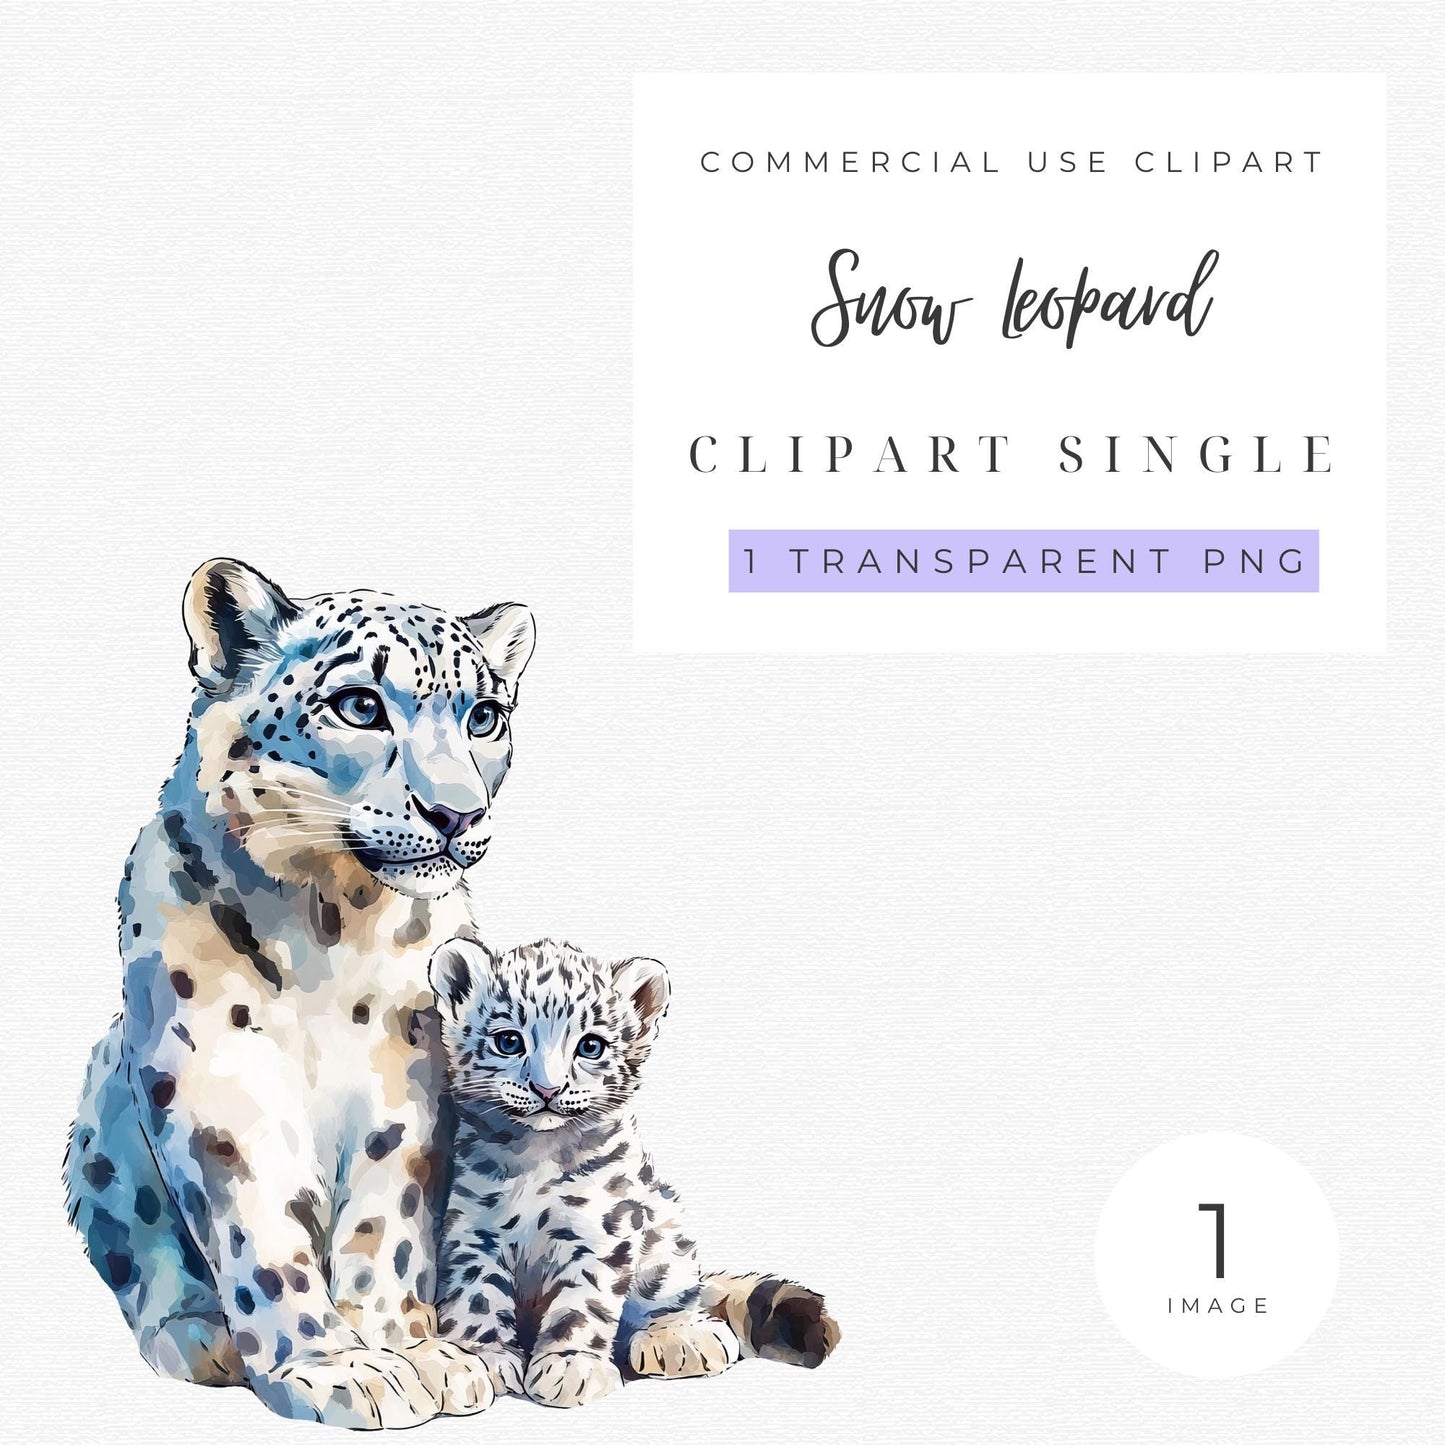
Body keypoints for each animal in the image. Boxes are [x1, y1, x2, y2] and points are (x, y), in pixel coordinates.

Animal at [63, 557, 535, 1428]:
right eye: (360, 704)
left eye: (484, 715)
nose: (457, 813)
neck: (332, 920)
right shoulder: (220, 1072)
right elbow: (262, 1230)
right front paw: (335, 1367)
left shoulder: (406, 1074)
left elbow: (389, 1222)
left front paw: (414, 1352)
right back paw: (198, 1337)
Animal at [429, 937, 840, 1409]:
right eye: (508, 1041)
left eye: (591, 1046)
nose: (548, 1088)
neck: (538, 1155)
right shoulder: (475, 1230)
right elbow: (477, 1297)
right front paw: (487, 1357)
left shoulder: (598, 1231)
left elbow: (584, 1301)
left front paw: (571, 1365)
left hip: (665, 1238)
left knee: (680, 1295)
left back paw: (682, 1338)